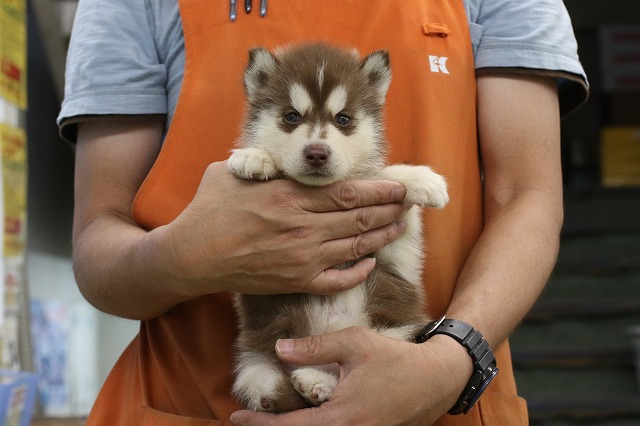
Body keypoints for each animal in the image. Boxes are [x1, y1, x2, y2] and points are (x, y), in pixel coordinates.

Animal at [228, 43, 448, 412]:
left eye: (343, 119)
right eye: (292, 116)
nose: (317, 153)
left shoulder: (394, 249)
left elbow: (383, 180)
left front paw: (420, 179)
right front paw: (254, 156)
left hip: (396, 333)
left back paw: (316, 381)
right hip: (255, 363)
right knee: (270, 388)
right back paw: (313, 382)